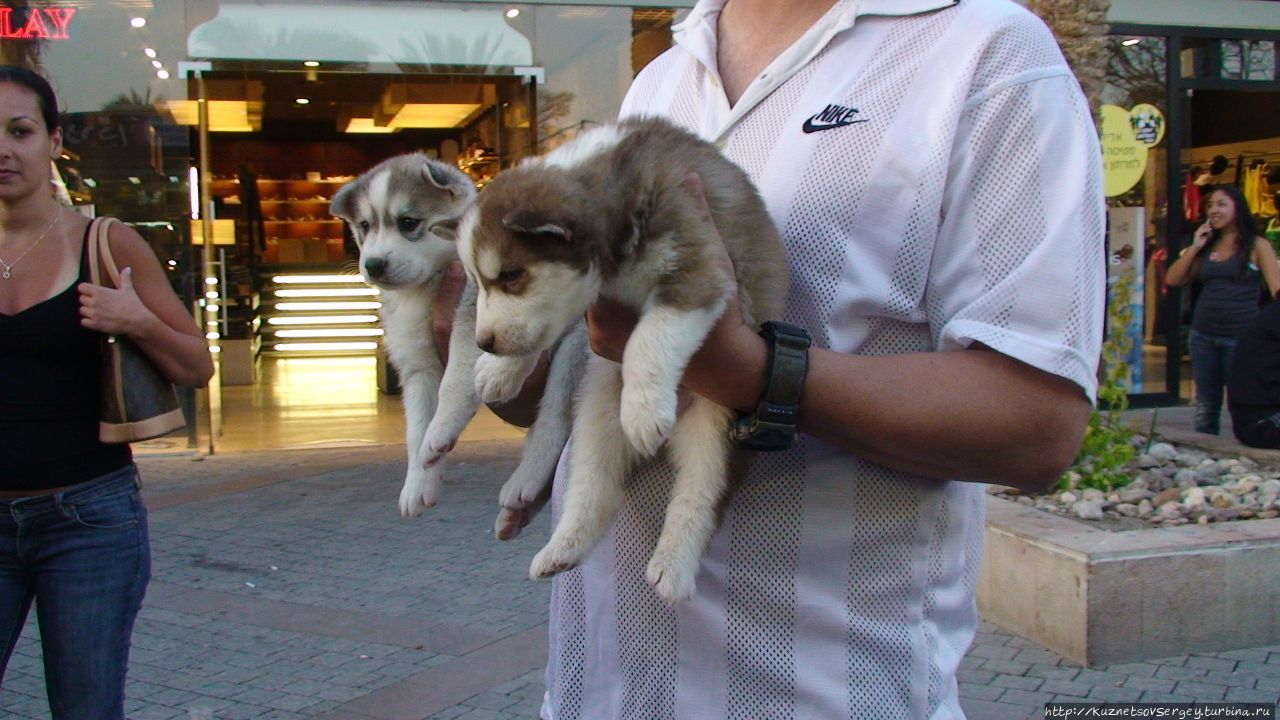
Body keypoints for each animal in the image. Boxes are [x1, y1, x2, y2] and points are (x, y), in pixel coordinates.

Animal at [332, 156, 586, 538]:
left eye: (408, 222)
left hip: (577, 346)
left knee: (556, 419)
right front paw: (418, 481)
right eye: (365, 226)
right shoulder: (417, 365)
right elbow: (415, 427)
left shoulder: (475, 316)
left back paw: (525, 480)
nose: (373, 265)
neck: (424, 289)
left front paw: (442, 428)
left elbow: (455, 381)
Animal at [455, 117, 783, 599]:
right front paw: (500, 370)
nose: (485, 342)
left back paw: (673, 566)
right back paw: (563, 548)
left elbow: (650, 339)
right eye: (478, 281)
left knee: (701, 491)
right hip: (598, 410)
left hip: (720, 421)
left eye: (512, 275)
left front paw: (644, 410)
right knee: (595, 486)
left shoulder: (696, 269)